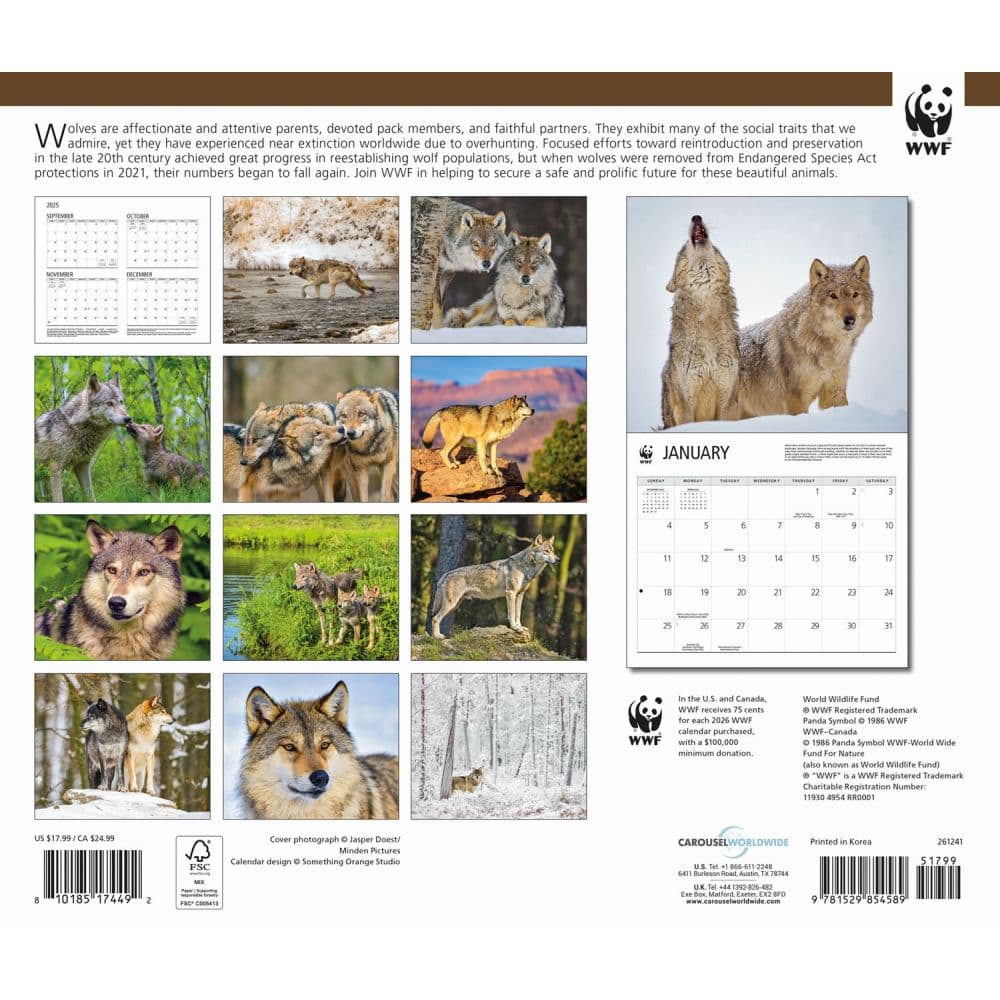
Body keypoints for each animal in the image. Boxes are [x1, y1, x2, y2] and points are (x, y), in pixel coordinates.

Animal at [35, 372, 131, 502]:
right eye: (109, 403)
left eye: (121, 402)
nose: (128, 419)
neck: (73, 425)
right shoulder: (55, 469)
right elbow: (59, 500)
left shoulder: (83, 466)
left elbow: (91, 498)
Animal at [430, 534, 559, 639]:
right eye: (546, 551)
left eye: (553, 551)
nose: (558, 559)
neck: (525, 568)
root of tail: (446, 574)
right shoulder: (510, 593)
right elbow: (512, 614)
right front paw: (514, 627)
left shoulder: (520, 594)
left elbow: (518, 614)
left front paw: (520, 627)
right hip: (450, 604)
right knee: (435, 618)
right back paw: (437, 636)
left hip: (454, 606)